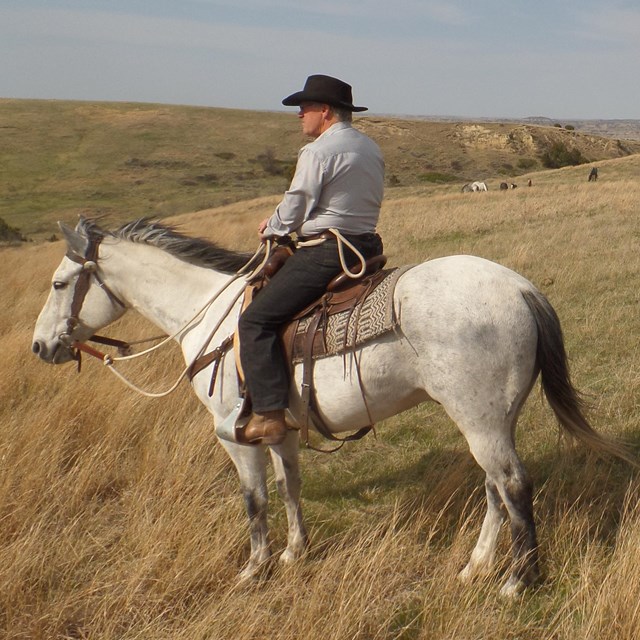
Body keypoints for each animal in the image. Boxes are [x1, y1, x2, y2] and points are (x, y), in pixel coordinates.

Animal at [31, 218, 636, 596]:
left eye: (60, 283)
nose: (40, 347)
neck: (211, 320)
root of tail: (520, 289)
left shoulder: (232, 435)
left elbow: (254, 501)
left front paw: (254, 570)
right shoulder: (279, 431)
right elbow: (289, 488)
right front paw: (295, 554)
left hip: (481, 420)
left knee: (512, 485)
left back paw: (516, 581)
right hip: (489, 419)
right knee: (495, 487)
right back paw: (476, 568)